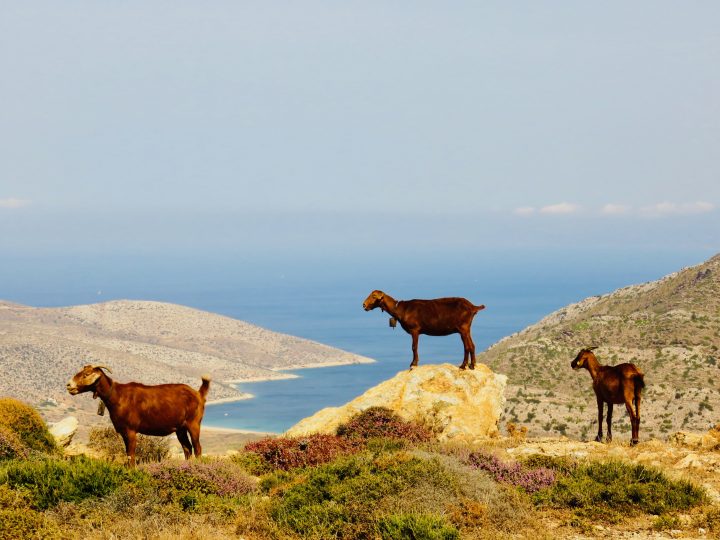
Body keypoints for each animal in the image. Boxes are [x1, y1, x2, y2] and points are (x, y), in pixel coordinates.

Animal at [67, 364, 211, 466]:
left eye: (86, 374)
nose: (69, 385)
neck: (117, 396)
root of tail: (198, 394)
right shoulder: (123, 431)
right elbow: (127, 453)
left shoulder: (131, 430)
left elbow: (131, 453)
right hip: (180, 429)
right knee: (187, 448)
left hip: (194, 423)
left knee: (197, 448)